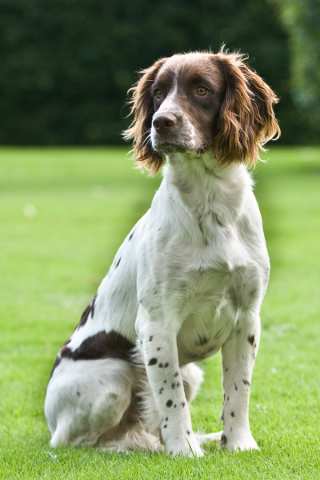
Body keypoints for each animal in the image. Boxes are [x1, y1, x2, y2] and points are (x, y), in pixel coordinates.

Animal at [45, 49, 280, 458]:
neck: (210, 204)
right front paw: (184, 450)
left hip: (190, 371)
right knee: (79, 441)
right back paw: (131, 448)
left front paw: (237, 443)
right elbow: (171, 399)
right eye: (157, 93)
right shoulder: (157, 323)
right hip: (112, 377)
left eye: (202, 90)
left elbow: (238, 391)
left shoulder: (247, 318)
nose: (162, 122)